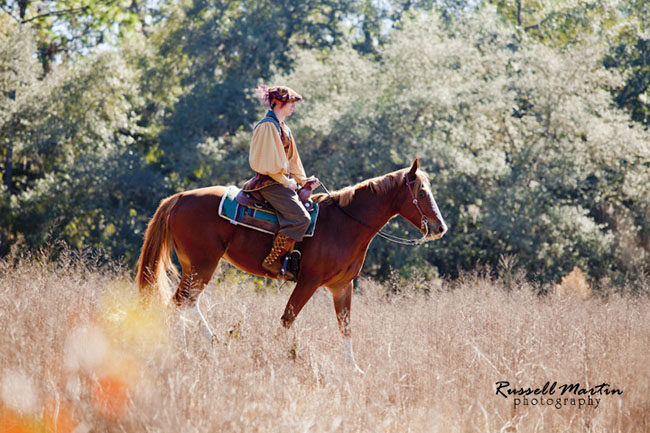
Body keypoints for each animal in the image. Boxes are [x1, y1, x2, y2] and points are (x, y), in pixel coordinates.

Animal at [134, 159, 442, 372]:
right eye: (421, 193)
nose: (440, 227)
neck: (345, 223)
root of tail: (179, 198)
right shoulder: (309, 282)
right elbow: (287, 319)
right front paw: (272, 356)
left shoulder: (342, 286)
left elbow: (345, 326)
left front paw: (354, 369)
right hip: (203, 264)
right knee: (179, 303)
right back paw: (187, 351)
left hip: (195, 266)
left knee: (187, 302)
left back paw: (209, 343)